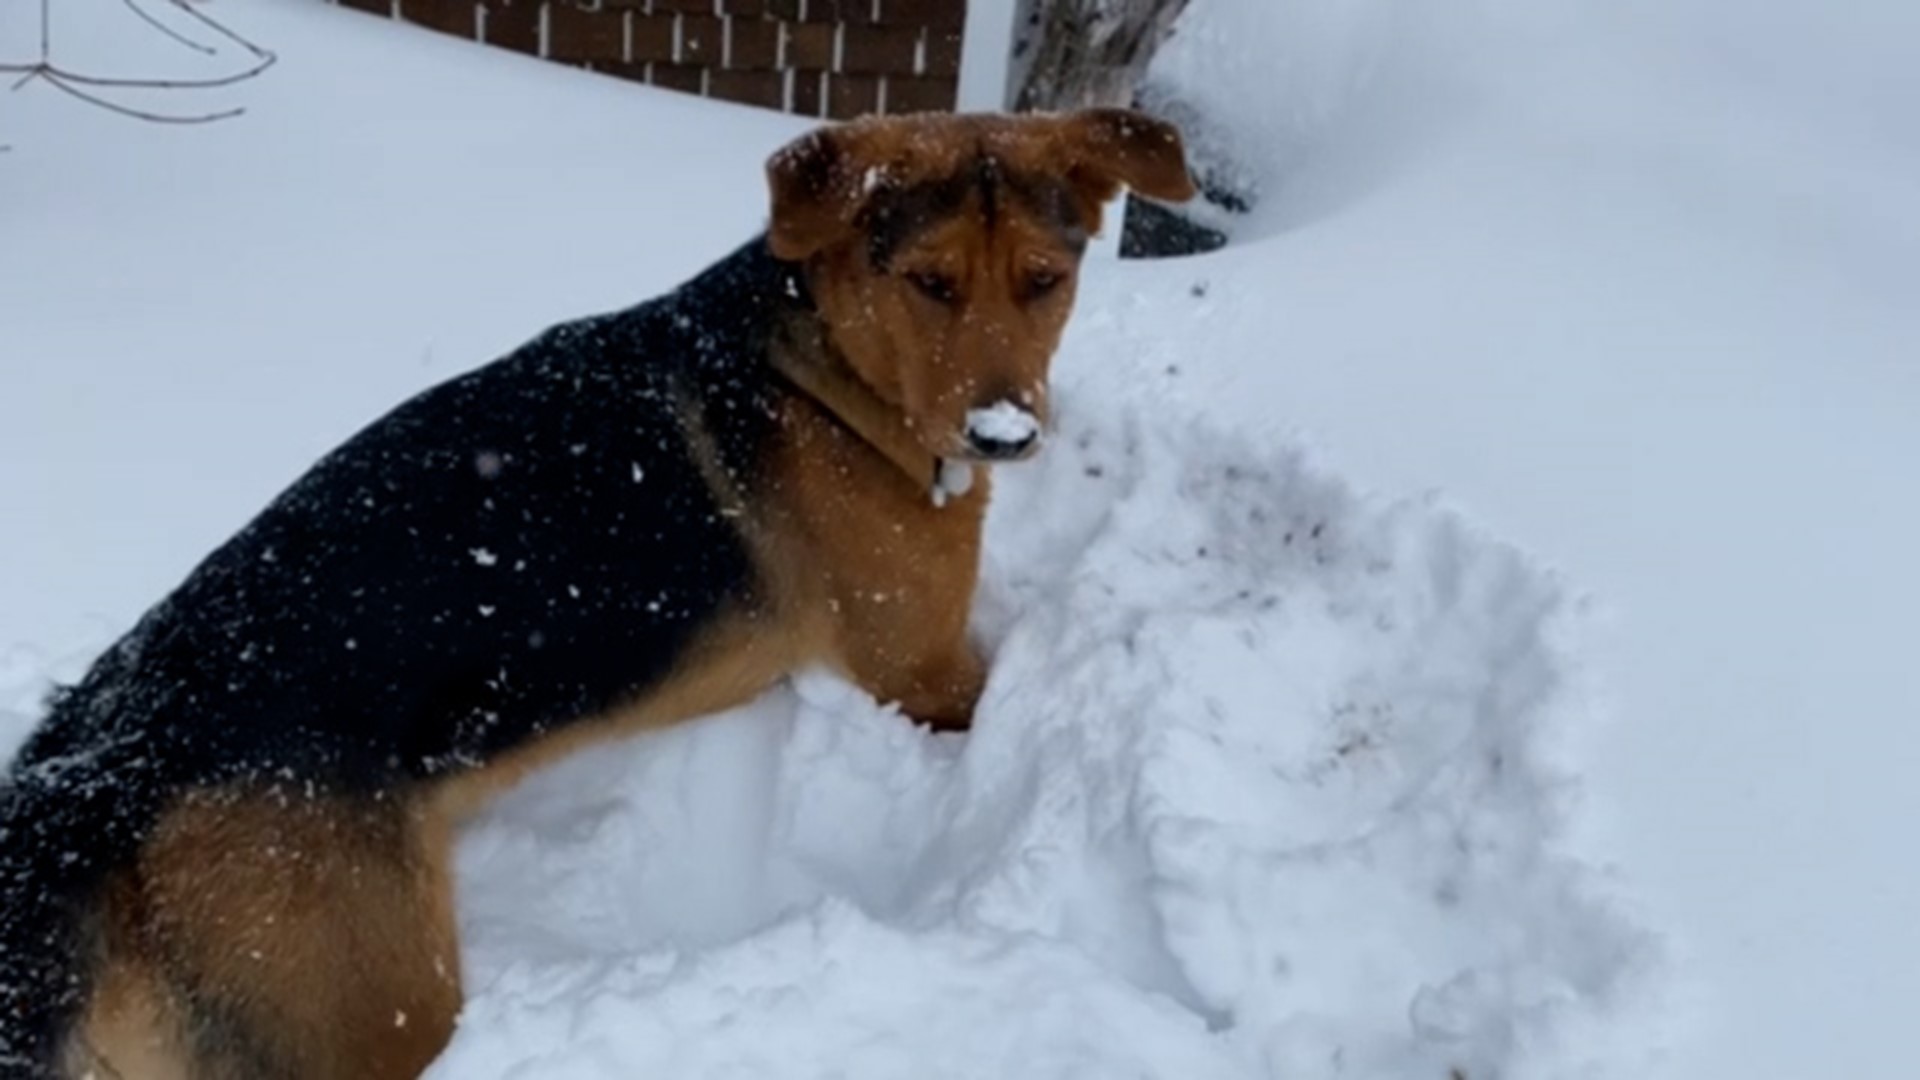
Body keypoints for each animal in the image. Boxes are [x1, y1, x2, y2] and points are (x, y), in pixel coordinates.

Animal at [0, 111, 1190, 1076]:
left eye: (1046, 279)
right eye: (929, 283)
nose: (1007, 434)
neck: (826, 368)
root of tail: (108, 761)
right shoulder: (926, 676)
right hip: (374, 1010)